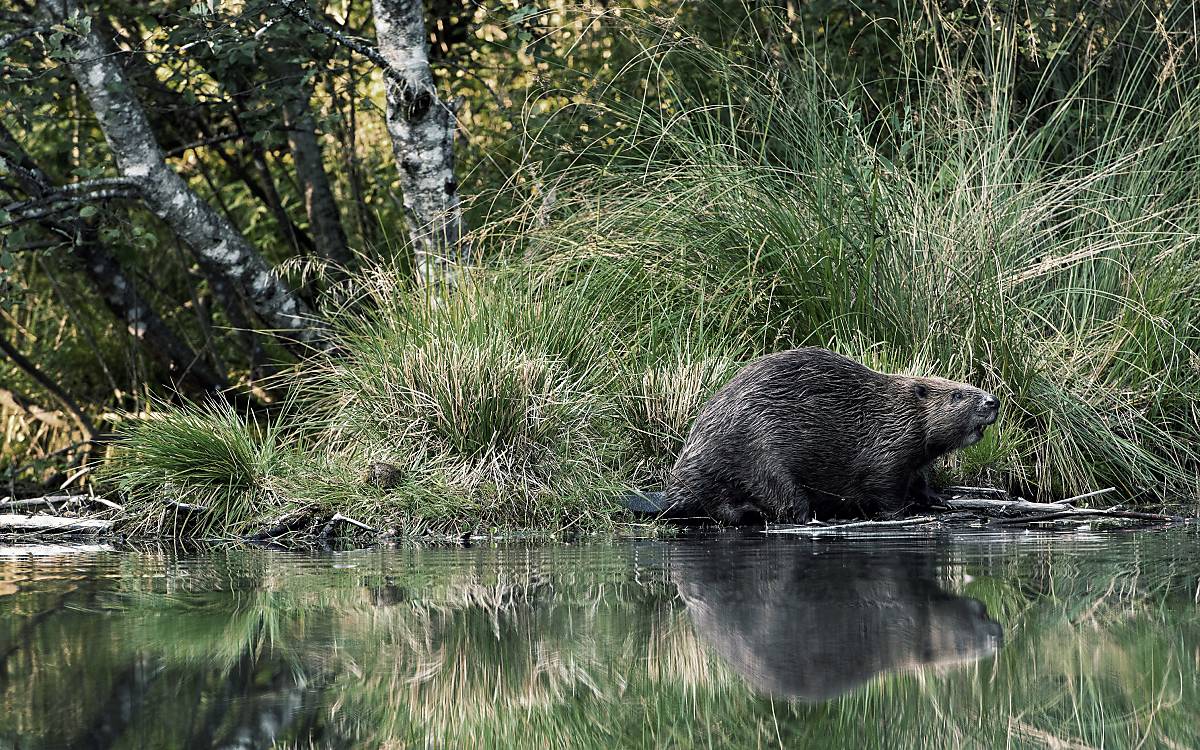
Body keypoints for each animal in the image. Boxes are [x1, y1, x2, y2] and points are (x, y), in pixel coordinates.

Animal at [662, 345, 998, 520]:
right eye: (957, 395)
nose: (992, 401)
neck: (893, 410)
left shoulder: (915, 456)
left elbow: (920, 479)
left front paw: (941, 499)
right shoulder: (886, 450)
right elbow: (884, 487)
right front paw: (902, 513)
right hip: (759, 456)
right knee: (774, 500)